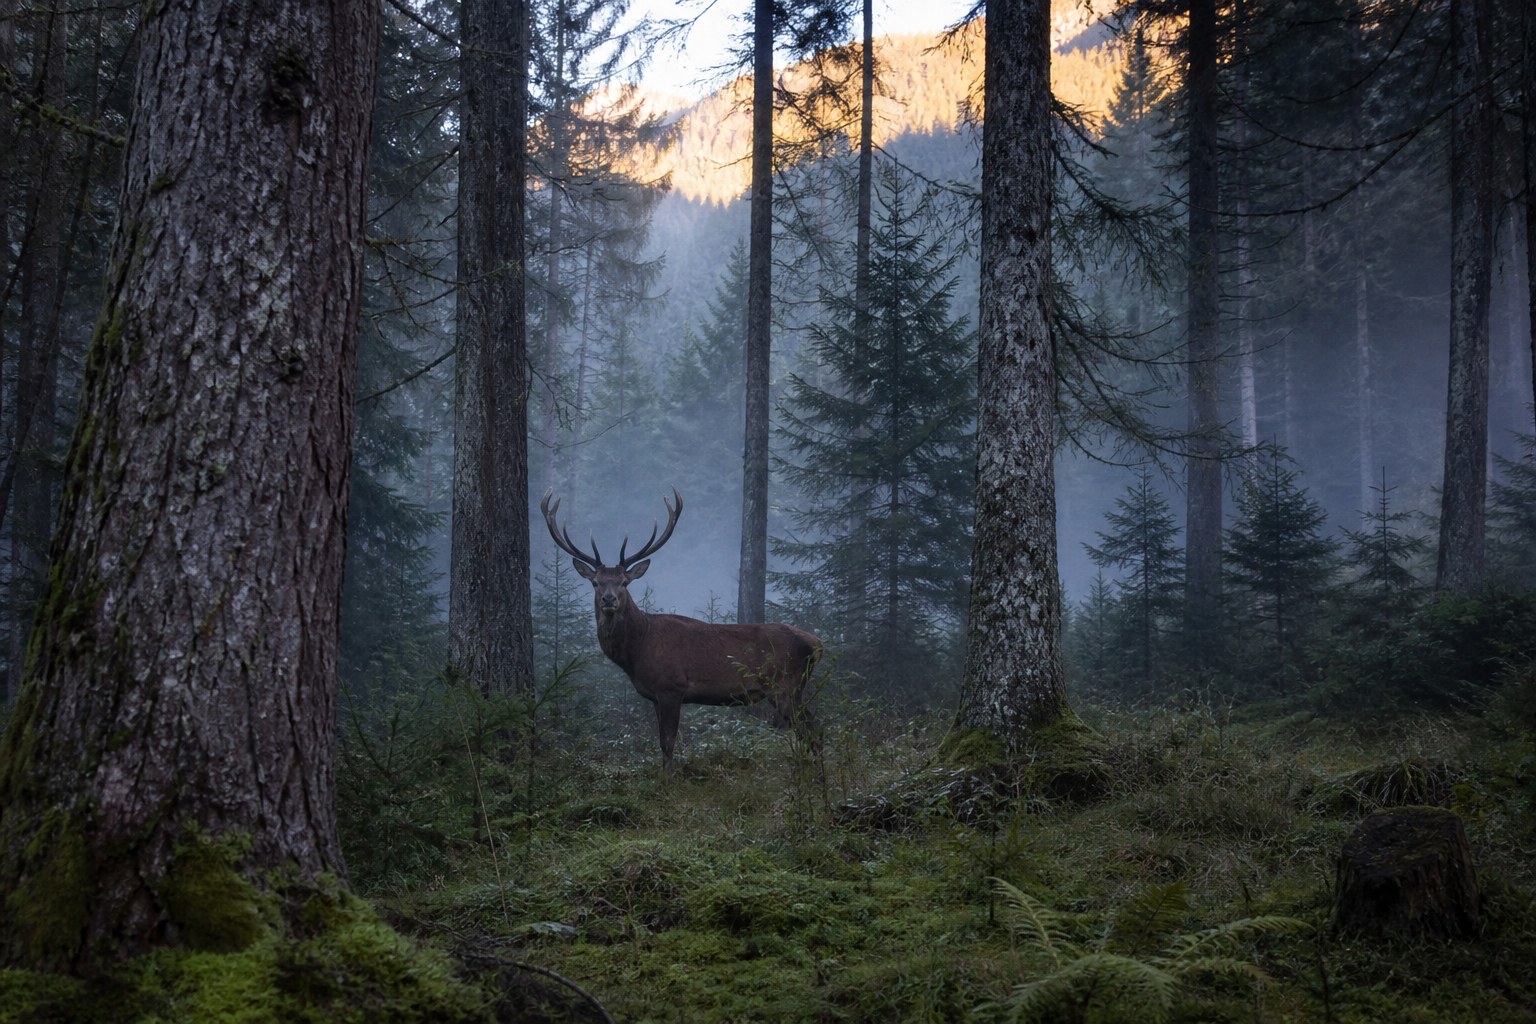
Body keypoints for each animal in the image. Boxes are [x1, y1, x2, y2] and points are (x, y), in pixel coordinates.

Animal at [540, 488, 823, 774]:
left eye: (624, 582)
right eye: (595, 583)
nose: (609, 600)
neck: (637, 650)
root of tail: (817, 643)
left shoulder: (671, 688)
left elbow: (668, 744)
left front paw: (668, 781)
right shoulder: (655, 696)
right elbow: (662, 743)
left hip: (785, 686)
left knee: (814, 732)